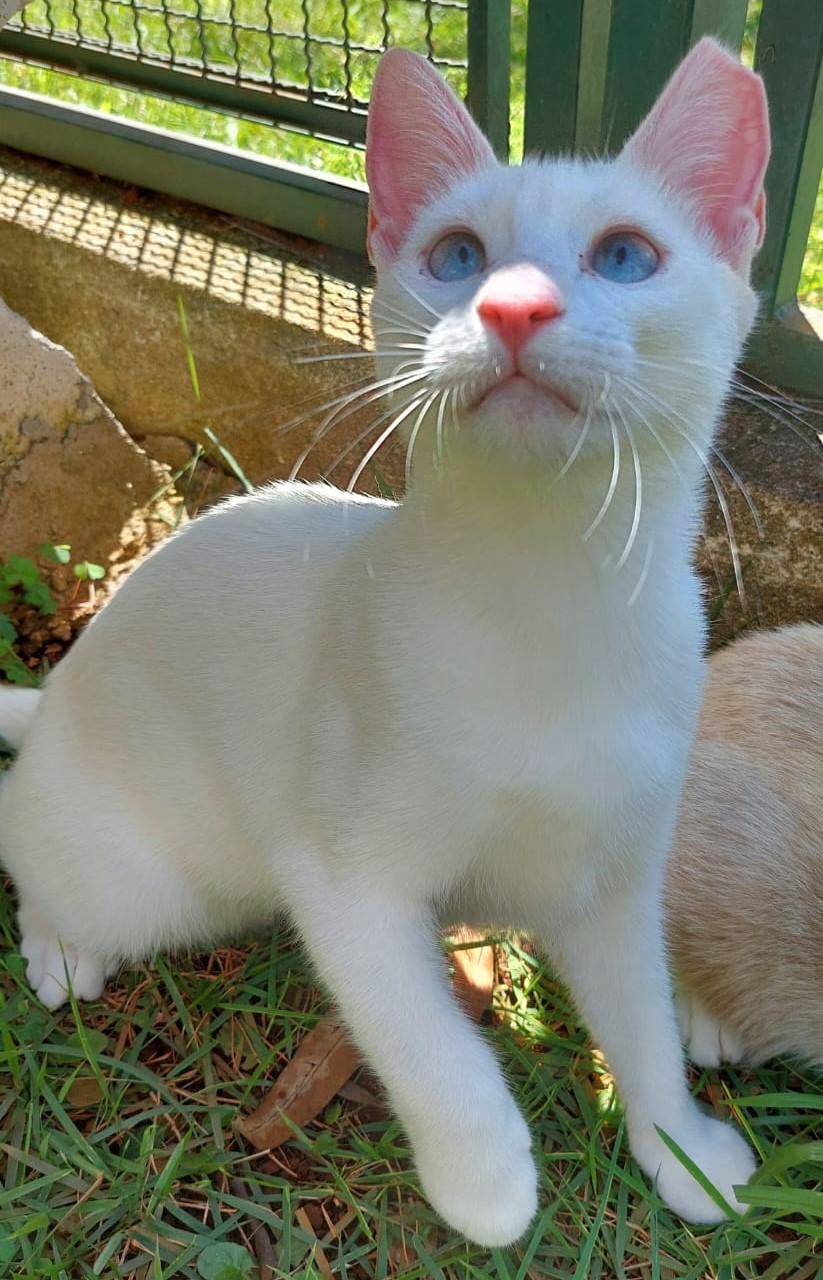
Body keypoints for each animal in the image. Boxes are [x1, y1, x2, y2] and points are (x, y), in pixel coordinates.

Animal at [0, 37, 767, 1239]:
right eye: (457, 255)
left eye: (623, 256)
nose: (511, 307)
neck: (548, 591)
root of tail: (57, 697)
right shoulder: (339, 874)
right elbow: (432, 1046)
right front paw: (488, 1182)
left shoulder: (612, 873)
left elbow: (641, 1018)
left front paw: (679, 1147)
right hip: (151, 877)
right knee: (29, 843)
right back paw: (61, 944)